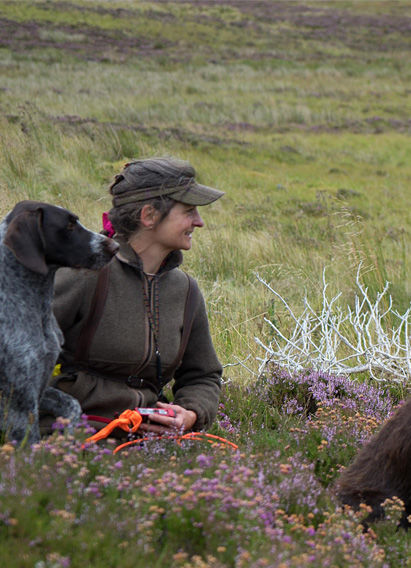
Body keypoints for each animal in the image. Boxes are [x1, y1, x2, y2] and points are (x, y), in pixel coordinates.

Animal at [0, 200, 119, 444]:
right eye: (69, 225)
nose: (116, 246)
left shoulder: (42, 387)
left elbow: (73, 404)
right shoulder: (21, 402)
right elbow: (31, 442)